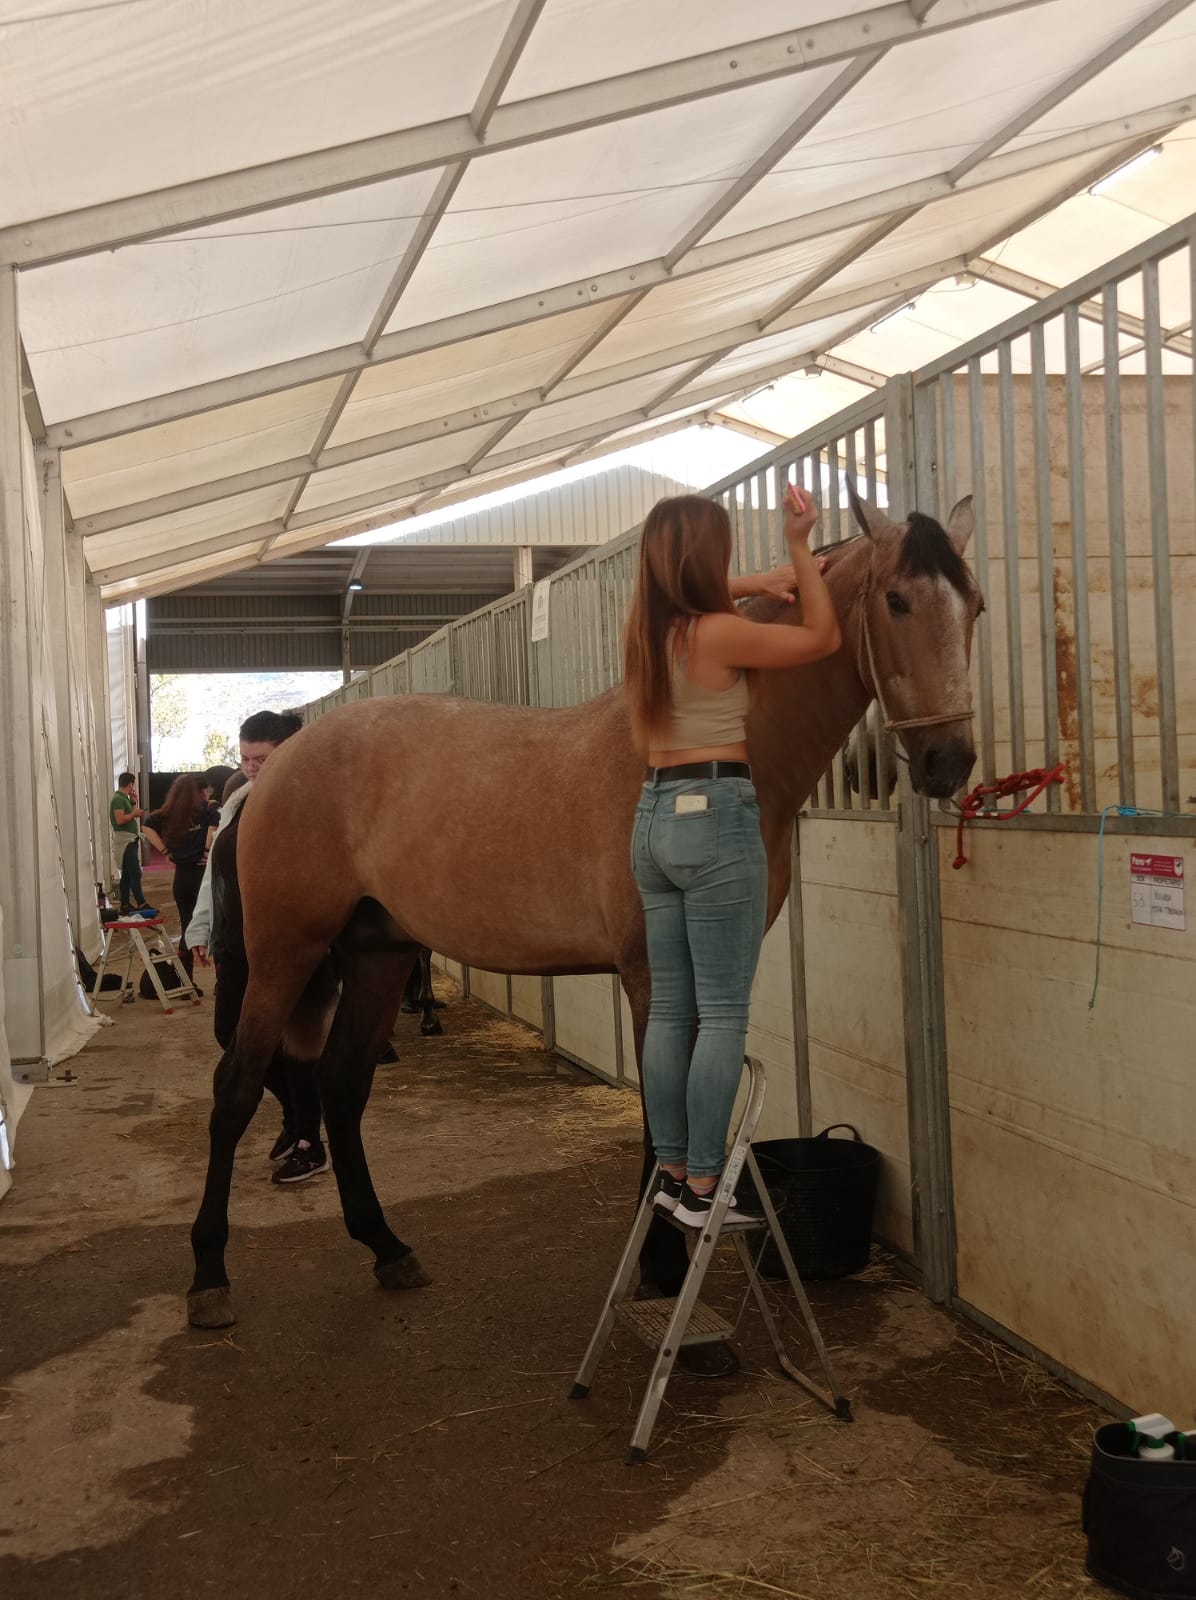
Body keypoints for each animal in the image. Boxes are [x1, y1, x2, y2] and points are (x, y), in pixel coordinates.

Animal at [187, 483, 978, 1324]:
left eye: (976, 606)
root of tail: (271, 776)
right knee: (237, 1086)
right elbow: (662, 1104)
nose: (948, 761)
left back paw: (387, 1247)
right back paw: (209, 1274)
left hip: (377, 954)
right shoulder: (652, 971)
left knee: (341, 1086)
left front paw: (661, 1257)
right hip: (286, 954)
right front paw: (661, 1264)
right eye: (896, 601)